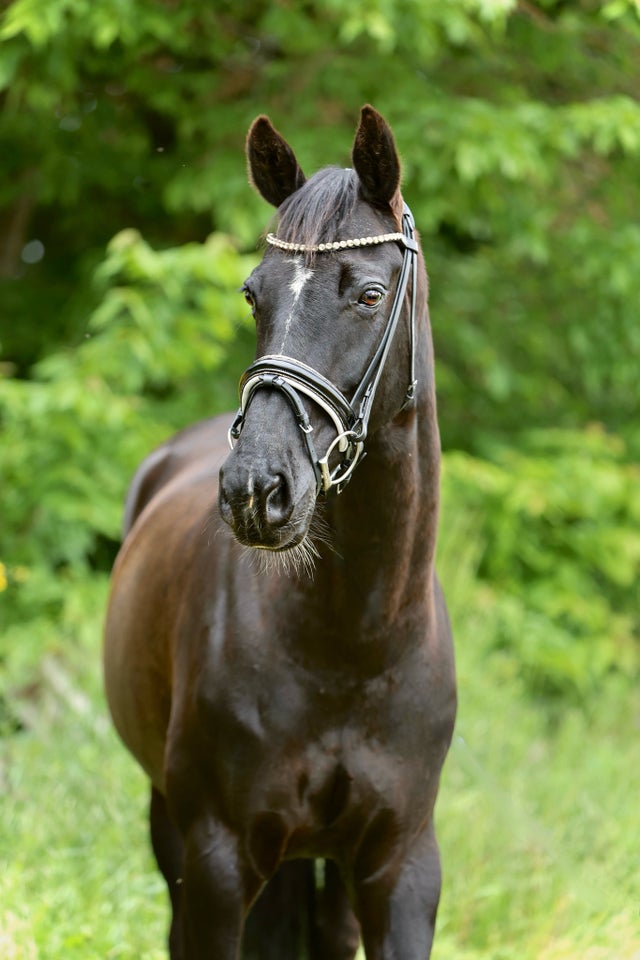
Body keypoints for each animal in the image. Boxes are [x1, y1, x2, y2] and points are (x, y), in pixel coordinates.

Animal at [104, 105, 456, 960]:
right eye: (252, 295)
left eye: (369, 294)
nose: (254, 491)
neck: (352, 645)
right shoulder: (217, 861)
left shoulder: (401, 868)